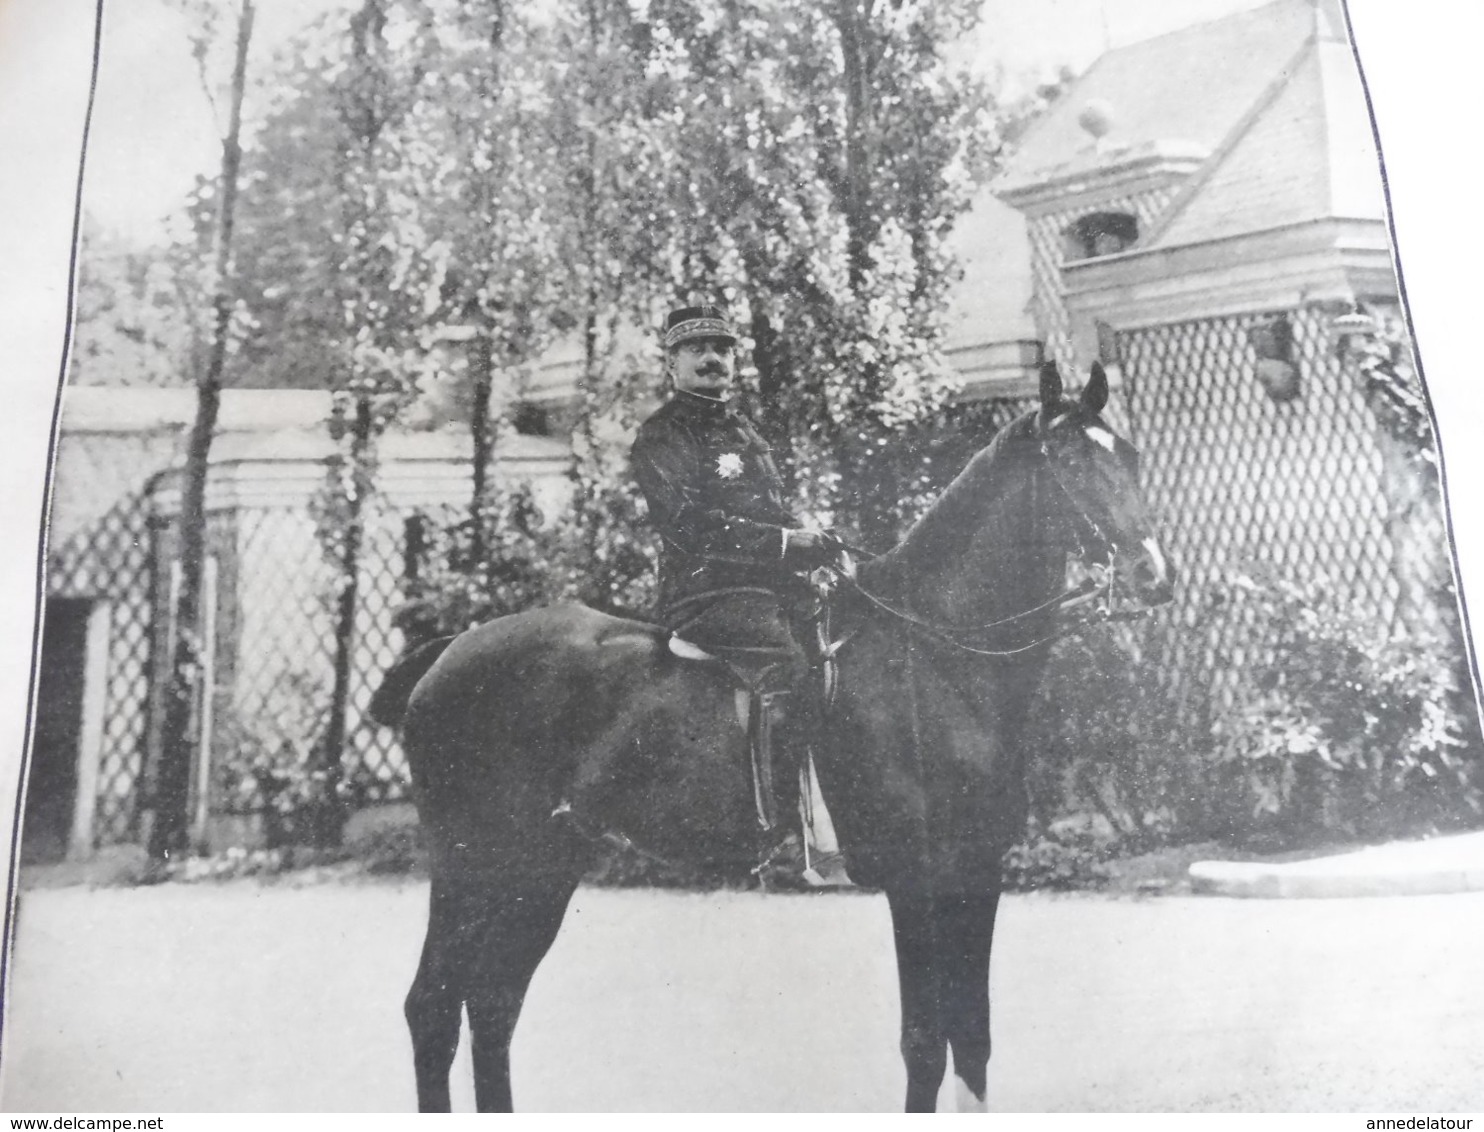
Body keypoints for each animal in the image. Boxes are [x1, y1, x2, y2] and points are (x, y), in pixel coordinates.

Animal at [382, 364, 1169, 1115]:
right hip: (471, 863)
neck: (933, 654)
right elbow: (925, 1041)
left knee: (491, 1004)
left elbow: (972, 1036)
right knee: (432, 1006)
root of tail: (451, 650)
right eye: (1069, 459)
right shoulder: (917, 877)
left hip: (543, 866)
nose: (1154, 577)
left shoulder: (977, 872)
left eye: (1130, 455)